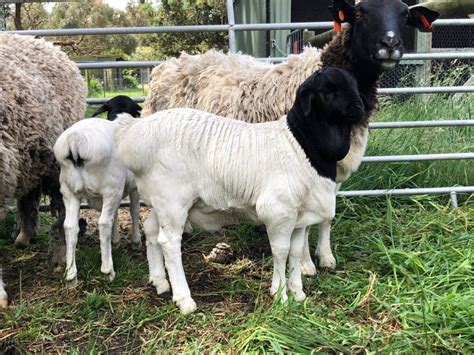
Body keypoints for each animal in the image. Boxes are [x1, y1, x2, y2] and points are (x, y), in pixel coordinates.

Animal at [0, 32, 86, 306]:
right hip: (26, 159)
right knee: (28, 197)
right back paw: (24, 237)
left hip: (57, 166)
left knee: (63, 213)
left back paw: (60, 257)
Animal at [54, 118, 141, 286]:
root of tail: (75, 139)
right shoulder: (133, 186)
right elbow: (134, 211)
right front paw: (136, 242)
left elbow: (116, 215)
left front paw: (115, 241)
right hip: (111, 187)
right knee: (104, 223)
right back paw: (108, 271)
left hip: (68, 190)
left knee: (70, 226)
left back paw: (71, 276)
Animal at [115, 67, 366, 314]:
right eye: (327, 91)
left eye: (354, 83)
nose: (361, 108)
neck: (300, 145)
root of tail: (134, 137)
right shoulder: (278, 211)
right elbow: (281, 251)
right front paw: (280, 295)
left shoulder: (299, 217)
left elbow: (295, 253)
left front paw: (298, 293)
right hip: (173, 200)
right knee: (169, 242)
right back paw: (184, 300)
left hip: (162, 200)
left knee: (151, 231)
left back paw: (160, 282)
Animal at [142, 0, 440, 276]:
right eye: (359, 13)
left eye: (405, 15)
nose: (390, 43)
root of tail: (169, 64)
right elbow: (306, 223)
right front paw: (307, 265)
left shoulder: (332, 169)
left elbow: (326, 216)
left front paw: (326, 256)